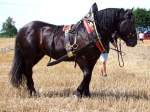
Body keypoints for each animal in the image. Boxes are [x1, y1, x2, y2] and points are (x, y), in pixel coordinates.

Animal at [9, 3, 137, 97]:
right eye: (130, 23)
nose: (134, 42)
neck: (91, 32)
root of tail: (22, 29)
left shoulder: (92, 59)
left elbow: (89, 75)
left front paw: (86, 94)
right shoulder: (81, 58)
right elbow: (87, 74)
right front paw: (78, 93)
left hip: (37, 55)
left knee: (26, 71)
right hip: (29, 56)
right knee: (28, 72)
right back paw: (33, 92)